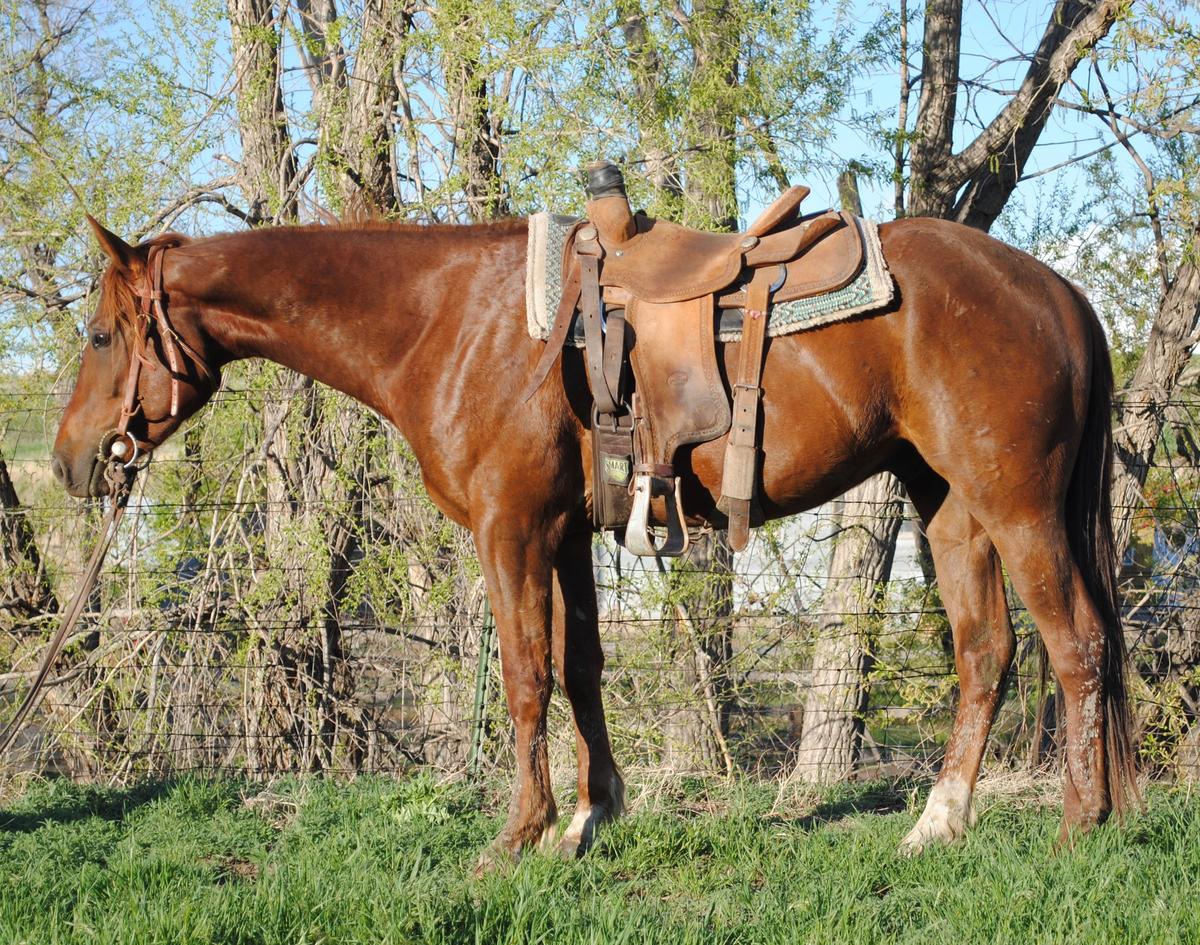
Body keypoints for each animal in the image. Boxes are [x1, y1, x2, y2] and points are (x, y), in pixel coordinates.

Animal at [51, 209, 1132, 858]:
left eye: (101, 335)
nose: (68, 462)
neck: (452, 320)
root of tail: (1059, 292)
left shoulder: (512, 530)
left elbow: (525, 677)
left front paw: (516, 836)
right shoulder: (566, 534)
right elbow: (581, 668)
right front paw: (589, 814)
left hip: (1017, 506)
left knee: (1076, 644)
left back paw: (1084, 826)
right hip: (947, 507)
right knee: (986, 651)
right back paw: (939, 825)